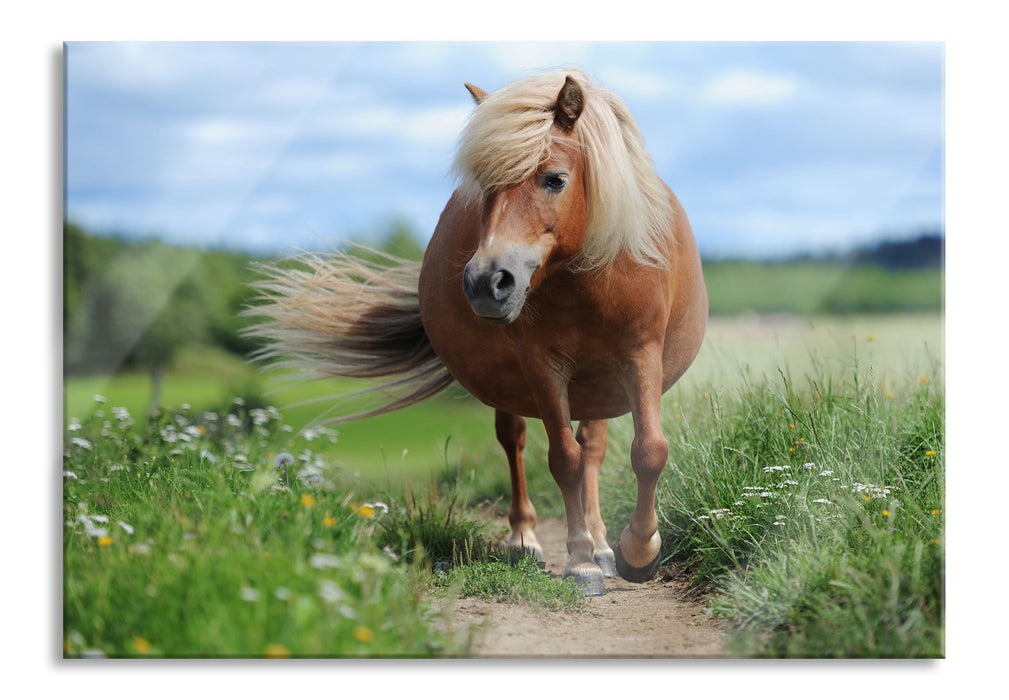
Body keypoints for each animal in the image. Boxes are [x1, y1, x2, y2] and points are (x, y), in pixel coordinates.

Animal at [250, 70, 710, 597]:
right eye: (485, 188)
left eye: (555, 179)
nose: (487, 282)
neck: (588, 277)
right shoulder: (542, 366)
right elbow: (564, 460)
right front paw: (580, 562)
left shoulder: (640, 355)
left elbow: (648, 451)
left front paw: (637, 551)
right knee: (516, 442)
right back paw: (528, 541)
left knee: (593, 447)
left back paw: (602, 545)